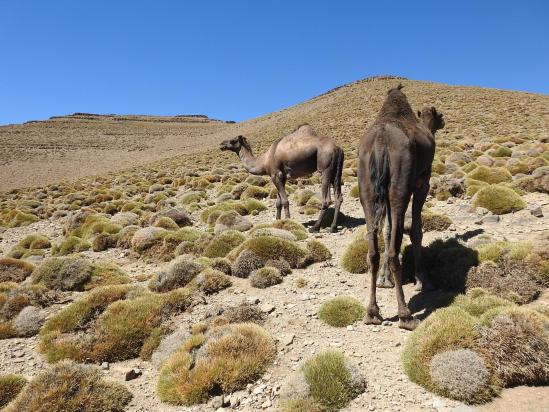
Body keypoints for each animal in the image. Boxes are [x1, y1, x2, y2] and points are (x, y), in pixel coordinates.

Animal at [358, 84, 444, 332]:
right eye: (439, 115)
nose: (444, 120)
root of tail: (380, 143)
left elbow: (388, 232)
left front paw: (384, 280)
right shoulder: (423, 183)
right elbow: (416, 230)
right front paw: (423, 281)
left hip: (367, 189)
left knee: (373, 252)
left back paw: (372, 313)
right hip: (400, 186)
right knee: (395, 249)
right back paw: (406, 315)